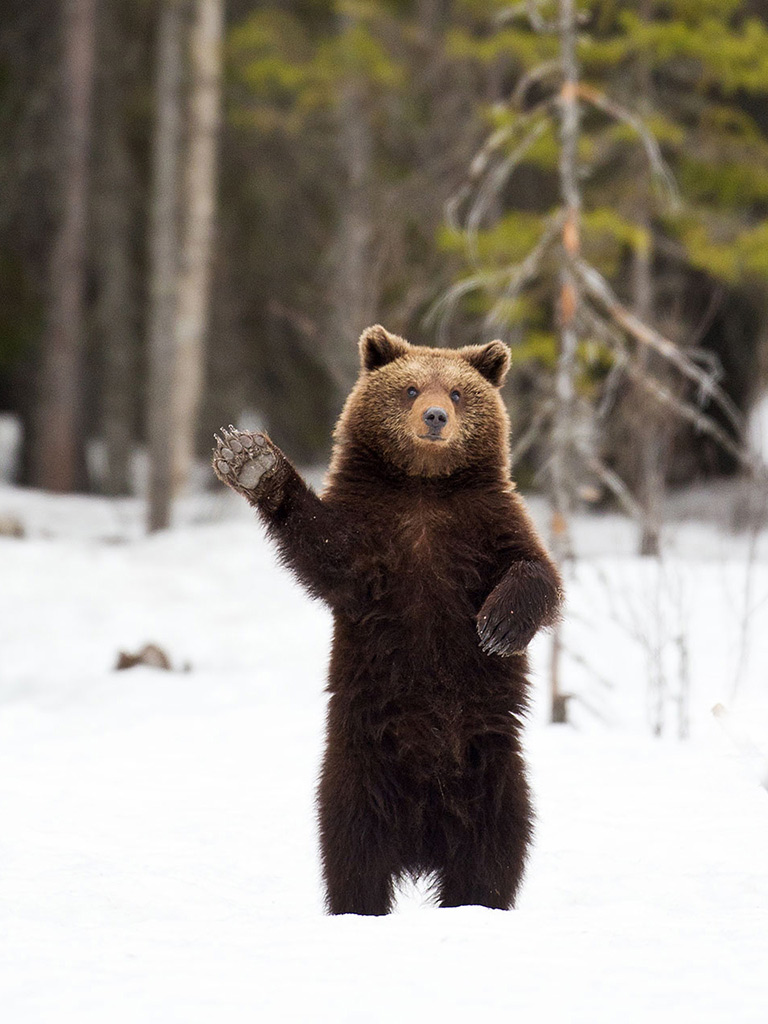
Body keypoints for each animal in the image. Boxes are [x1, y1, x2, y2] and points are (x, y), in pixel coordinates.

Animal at [214, 323, 561, 917]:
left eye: (458, 393)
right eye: (411, 388)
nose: (435, 417)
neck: (424, 488)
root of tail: (423, 840)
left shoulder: (486, 525)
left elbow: (536, 571)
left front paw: (498, 625)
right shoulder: (375, 538)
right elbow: (328, 551)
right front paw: (253, 461)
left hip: (494, 771)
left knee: (496, 849)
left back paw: (477, 905)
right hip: (359, 765)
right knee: (353, 849)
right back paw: (360, 907)